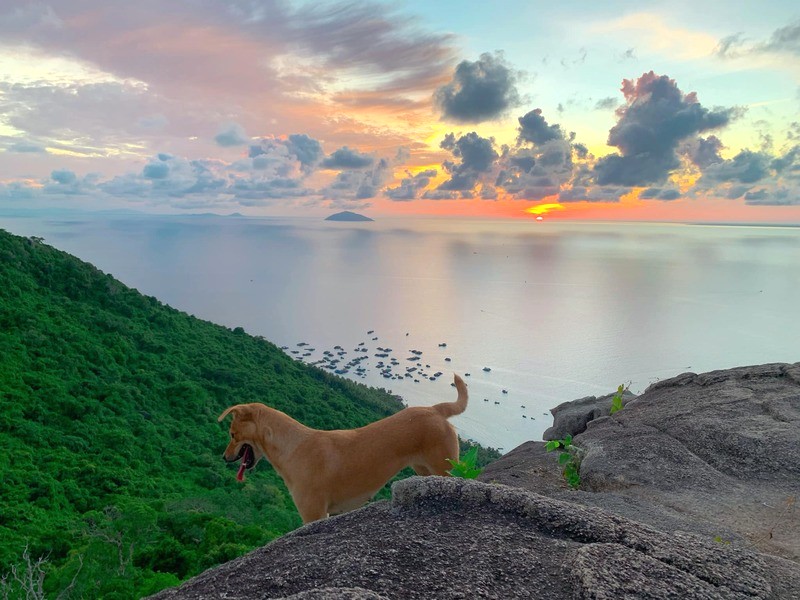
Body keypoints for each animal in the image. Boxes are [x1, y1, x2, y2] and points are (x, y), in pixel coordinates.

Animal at [219, 372, 468, 524]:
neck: (294, 446)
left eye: (232, 434)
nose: (224, 457)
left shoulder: (314, 515)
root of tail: (435, 409)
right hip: (424, 470)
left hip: (445, 468)